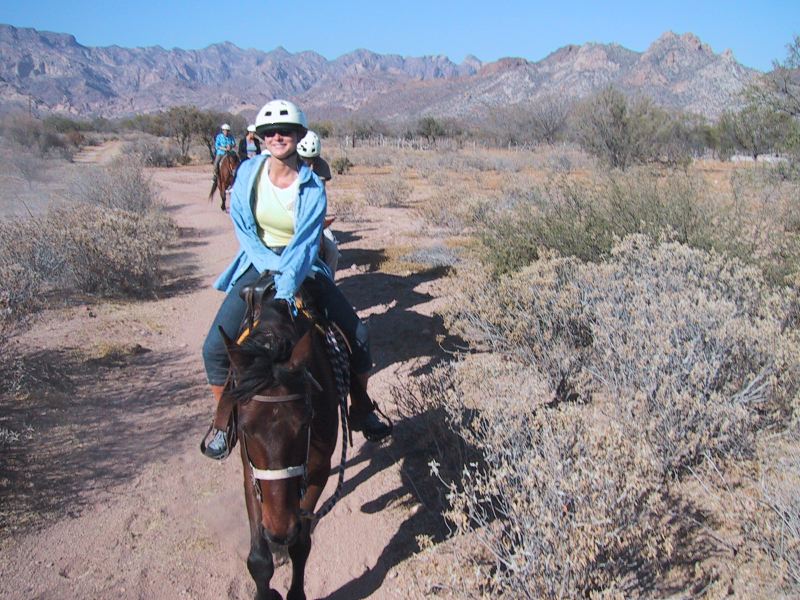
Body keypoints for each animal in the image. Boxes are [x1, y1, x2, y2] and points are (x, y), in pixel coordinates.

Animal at [218, 279, 350, 600]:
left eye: (306, 423)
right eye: (245, 429)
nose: (278, 530)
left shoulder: (318, 470)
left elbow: (300, 545)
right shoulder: (251, 470)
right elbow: (258, 559)